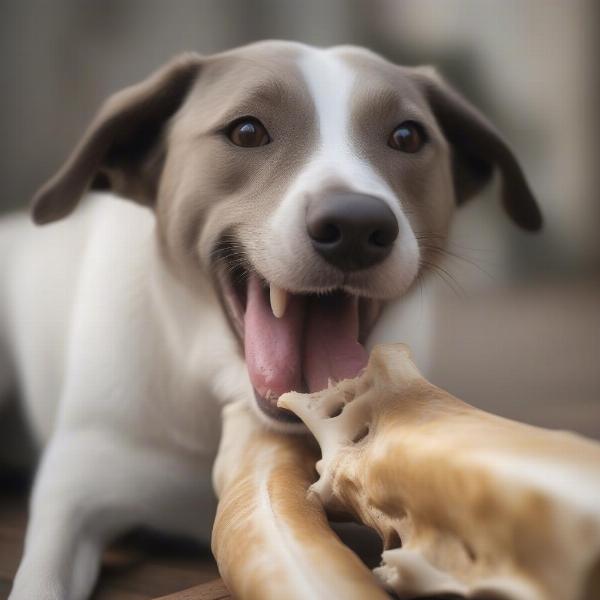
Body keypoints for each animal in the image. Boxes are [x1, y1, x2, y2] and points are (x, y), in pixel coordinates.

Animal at [0, 39, 540, 596]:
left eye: (407, 137)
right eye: (246, 131)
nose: (354, 225)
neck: (219, 395)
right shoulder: (75, 491)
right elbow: (43, 576)